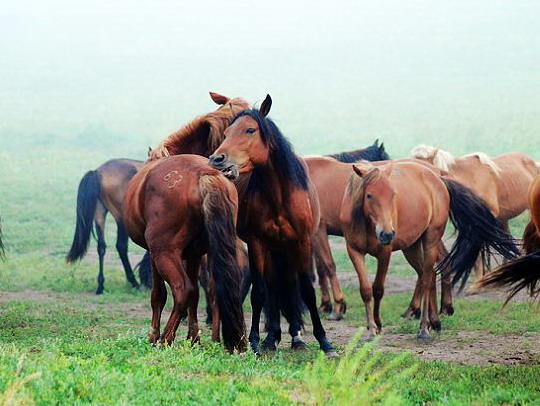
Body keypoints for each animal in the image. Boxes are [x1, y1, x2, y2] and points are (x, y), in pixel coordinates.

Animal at [123, 155, 246, 352]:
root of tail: (203, 172)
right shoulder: (195, 255)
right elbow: (195, 294)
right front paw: (193, 338)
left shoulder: (153, 254)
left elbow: (158, 295)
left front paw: (153, 336)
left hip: (164, 253)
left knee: (182, 289)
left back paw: (165, 339)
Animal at [208, 94, 338, 356]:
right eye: (226, 133)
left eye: (250, 130)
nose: (217, 159)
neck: (280, 196)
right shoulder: (257, 243)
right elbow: (260, 293)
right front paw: (255, 342)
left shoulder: (302, 242)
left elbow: (307, 292)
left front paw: (325, 342)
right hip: (272, 250)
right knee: (274, 288)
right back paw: (272, 338)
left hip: (286, 249)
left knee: (288, 285)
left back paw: (295, 337)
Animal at [340, 160, 520, 340]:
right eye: (369, 195)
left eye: (392, 195)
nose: (387, 234)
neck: (366, 224)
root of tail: (439, 180)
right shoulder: (354, 252)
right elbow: (366, 290)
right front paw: (372, 328)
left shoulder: (385, 253)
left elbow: (378, 289)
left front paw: (377, 324)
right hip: (411, 246)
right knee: (429, 274)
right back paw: (434, 321)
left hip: (430, 239)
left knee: (427, 279)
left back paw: (424, 329)